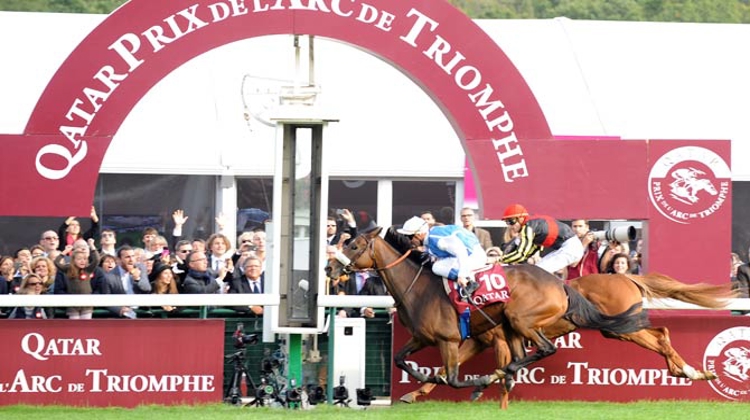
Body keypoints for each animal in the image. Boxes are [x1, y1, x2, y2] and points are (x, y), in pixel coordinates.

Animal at [326, 226, 648, 394]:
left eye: (354, 245)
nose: (330, 268)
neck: (417, 287)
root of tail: (560, 284)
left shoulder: (449, 340)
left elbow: (453, 378)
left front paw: (472, 381)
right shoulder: (422, 337)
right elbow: (400, 359)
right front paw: (423, 380)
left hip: (522, 319)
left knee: (544, 349)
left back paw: (499, 375)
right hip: (511, 326)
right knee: (520, 356)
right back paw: (503, 375)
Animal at [402, 272, 736, 406]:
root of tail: (626, 275)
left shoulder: (496, 339)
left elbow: (495, 367)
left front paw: (491, 389)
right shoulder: (480, 340)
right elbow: (446, 368)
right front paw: (414, 394)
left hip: (621, 326)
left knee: (663, 336)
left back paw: (691, 371)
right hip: (619, 329)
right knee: (661, 335)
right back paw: (689, 371)